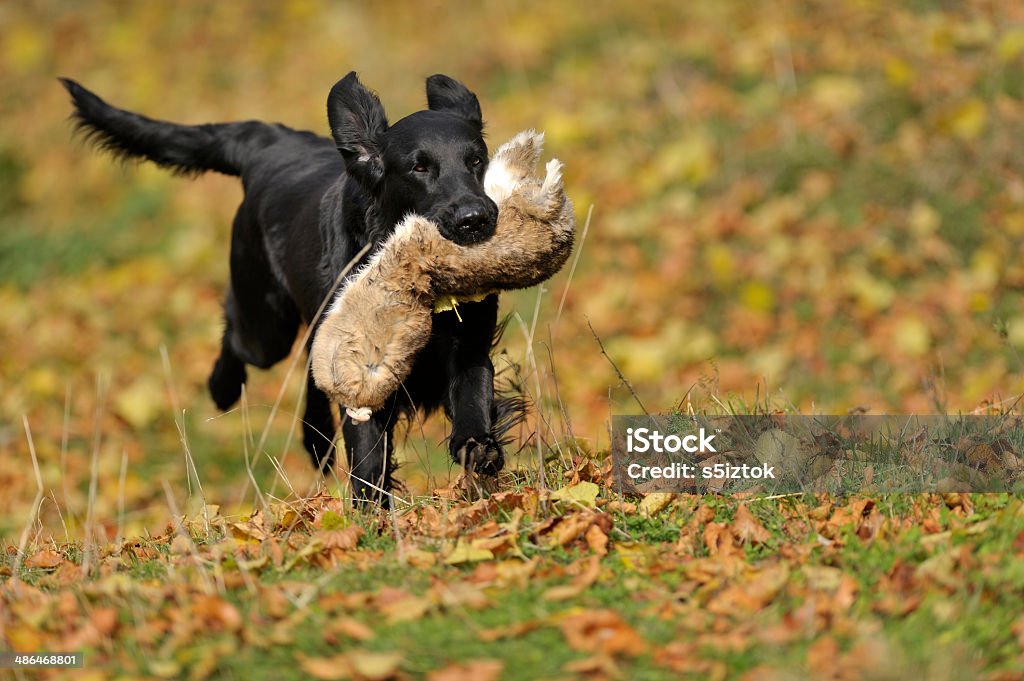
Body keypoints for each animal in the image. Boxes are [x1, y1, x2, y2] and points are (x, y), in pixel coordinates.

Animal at [66, 71, 520, 501]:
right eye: (419, 167)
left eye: (476, 159)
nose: (475, 218)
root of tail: (269, 143)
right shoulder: (361, 371)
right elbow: (369, 462)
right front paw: (370, 518)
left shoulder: (469, 342)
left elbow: (472, 399)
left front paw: (480, 450)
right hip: (266, 327)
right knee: (238, 333)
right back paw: (222, 387)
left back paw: (314, 438)